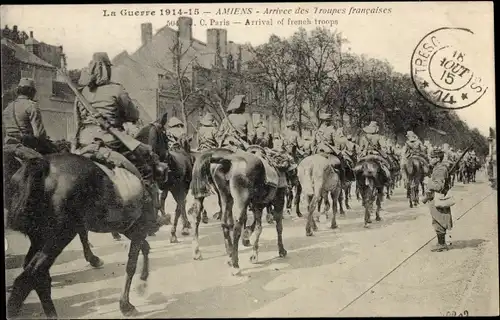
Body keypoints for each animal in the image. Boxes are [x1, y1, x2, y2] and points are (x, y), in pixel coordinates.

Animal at [4, 152, 168, 318]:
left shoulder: (130, 229)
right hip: (60, 236)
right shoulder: (138, 229)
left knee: (38, 275)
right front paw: (126, 304)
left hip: (39, 238)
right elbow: (131, 265)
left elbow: (145, 248)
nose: (157, 223)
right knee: (30, 275)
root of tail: (43, 165)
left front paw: (143, 280)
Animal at [188, 148, 290, 276]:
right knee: (236, 226)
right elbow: (278, 227)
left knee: (218, 221)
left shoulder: (257, 205)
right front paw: (281, 250)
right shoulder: (278, 203)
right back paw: (235, 265)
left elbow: (258, 228)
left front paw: (254, 254)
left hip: (223, 197)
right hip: (240, 200)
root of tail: (227, 161)